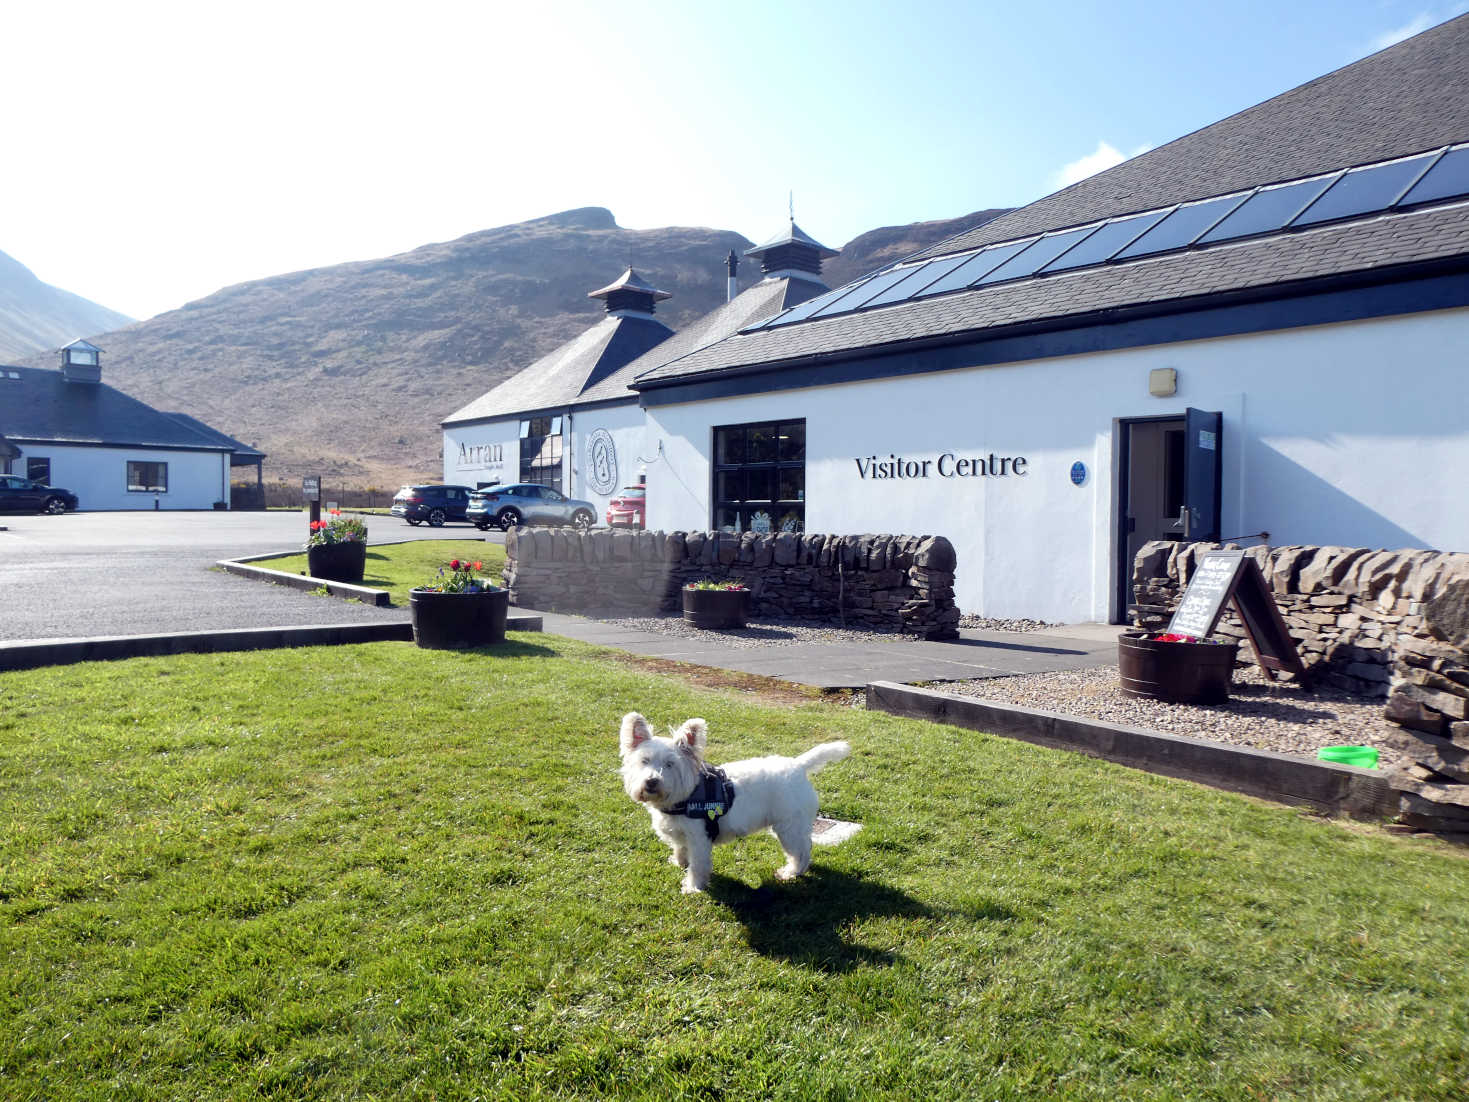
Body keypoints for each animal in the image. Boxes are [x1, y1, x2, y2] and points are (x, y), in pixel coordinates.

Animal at [616, 717, 852, 899]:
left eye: (670, 764)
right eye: (644, 761)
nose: (651, 782)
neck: (684, 797)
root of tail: (798, 765)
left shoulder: (699, 838)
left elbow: (698, 865)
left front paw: (692, 887)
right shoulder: (682, 835)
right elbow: (680, 849)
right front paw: (679, 862)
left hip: (789, 828)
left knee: (801, 852)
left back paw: (790, 873)